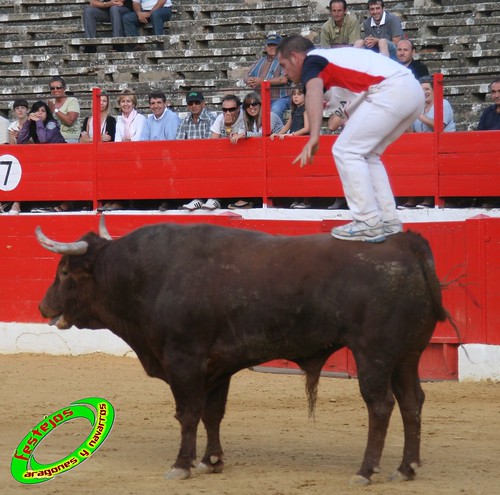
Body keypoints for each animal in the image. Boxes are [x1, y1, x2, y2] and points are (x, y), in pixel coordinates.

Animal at [36, 221, 450, 484]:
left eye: (64, 272)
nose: (42, 307)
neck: (146, 275)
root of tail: (405, 243)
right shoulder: (218, 366)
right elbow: (212, 413)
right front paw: (211, 461)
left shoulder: (183, 360)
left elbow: (188, 413)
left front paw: (182, 464)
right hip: (407, 355)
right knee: (412, 402)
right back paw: (407, 467)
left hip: (373, 353)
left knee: (380, 405)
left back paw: (365, 471)